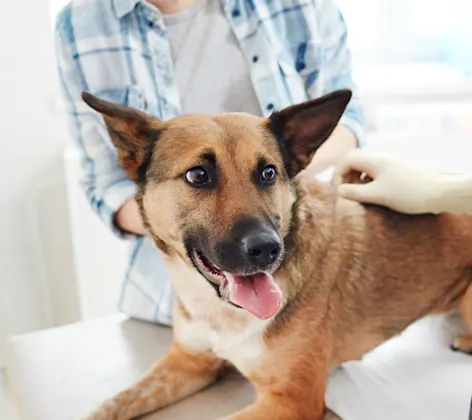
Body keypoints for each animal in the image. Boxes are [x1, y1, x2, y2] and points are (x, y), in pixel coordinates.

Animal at [80, 89, 472, 420]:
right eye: (198, 175)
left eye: (268, 173)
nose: (267, 249)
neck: (223, 311)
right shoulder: (188, 361)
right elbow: (110, 403)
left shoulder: (291, 400)